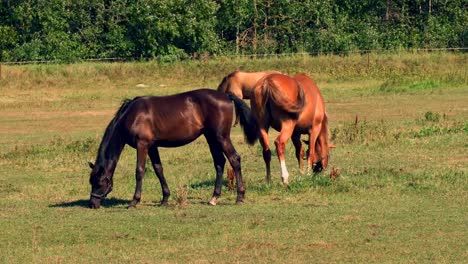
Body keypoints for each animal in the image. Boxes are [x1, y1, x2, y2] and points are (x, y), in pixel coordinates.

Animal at [87, 88, 256, 208]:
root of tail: (226, 96)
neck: (132, 116)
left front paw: (134, 201)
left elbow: (139, 171)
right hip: (211, 138)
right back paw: (214, 198)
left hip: (221, 137)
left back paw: (239, 197)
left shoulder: (142, 145)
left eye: (99, 183)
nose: (92, 204)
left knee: (234, 159)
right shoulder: (152, 147)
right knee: (219, 162)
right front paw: (165, 199)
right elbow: (158, 169)